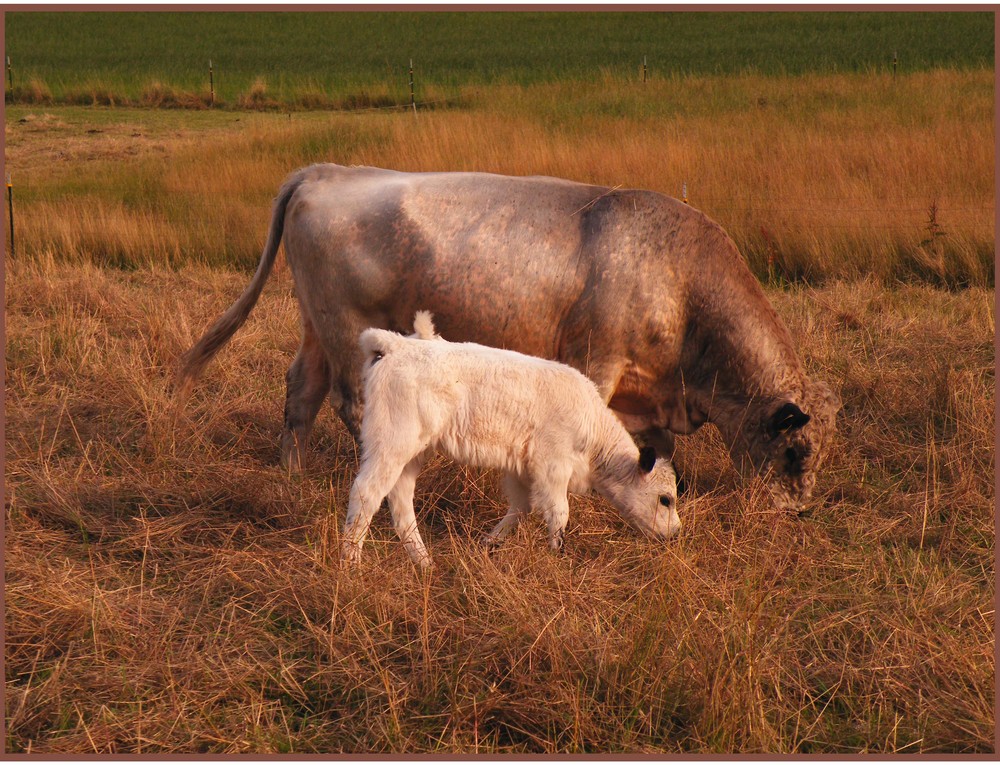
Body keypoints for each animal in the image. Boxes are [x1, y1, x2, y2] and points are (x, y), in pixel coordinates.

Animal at [178, 164, 836, 510]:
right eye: (795, 453)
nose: (802, 512)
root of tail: (331, 171)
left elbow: (656, 449)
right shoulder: (595, 359)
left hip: (316, 325)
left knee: (301, 393)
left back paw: (290, 473)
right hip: (346, 326)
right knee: (350, 403)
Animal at [342, 310, 680, 568]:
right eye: (665, 499)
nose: (676, 533)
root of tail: (395, 344)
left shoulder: (523, 470)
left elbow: (520, 509)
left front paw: (488, 545)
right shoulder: (552, 466)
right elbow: (559, 514)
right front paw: (557, 557)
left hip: (412, 452)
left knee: (400, 500)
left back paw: (425, 563)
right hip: (391, 444)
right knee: (367, 492)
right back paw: (351, 563)